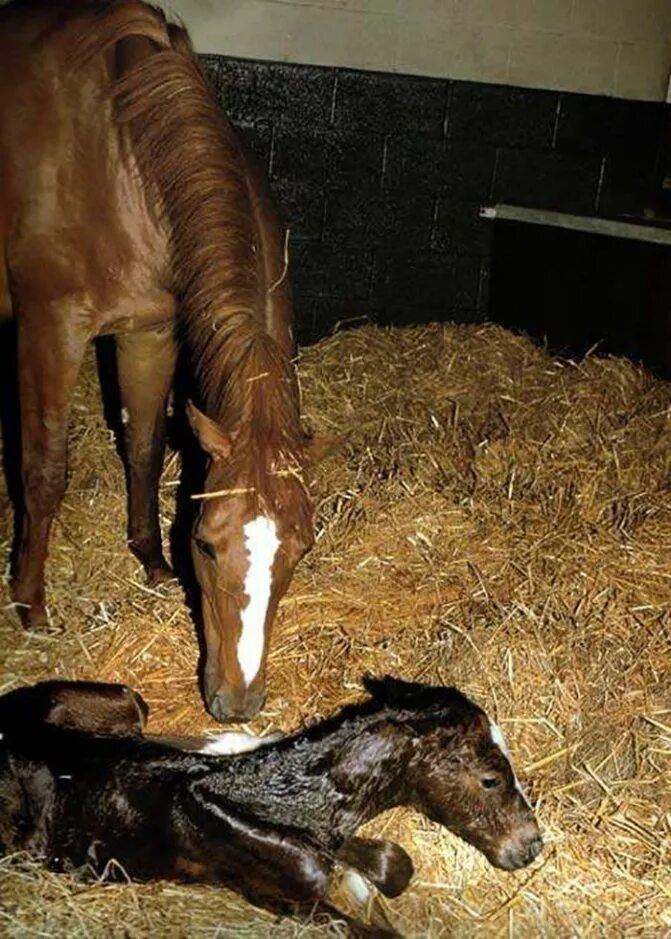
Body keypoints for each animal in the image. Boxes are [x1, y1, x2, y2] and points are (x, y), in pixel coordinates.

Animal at [0, 0, 322, 724]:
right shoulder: (49, 330)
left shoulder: (150, 333)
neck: (120, 153)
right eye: (205, 541)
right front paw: (30, 603)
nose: (237, 702)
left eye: (301, 547)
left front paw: (149, 559)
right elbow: (44, 470)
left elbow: (144, 447)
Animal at [0, 676, 544, 932]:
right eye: (491, 778)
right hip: (27, 845)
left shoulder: (327, 843)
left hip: (127, 704)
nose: (531, 845)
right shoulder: (288, 900)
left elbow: (394, 864)